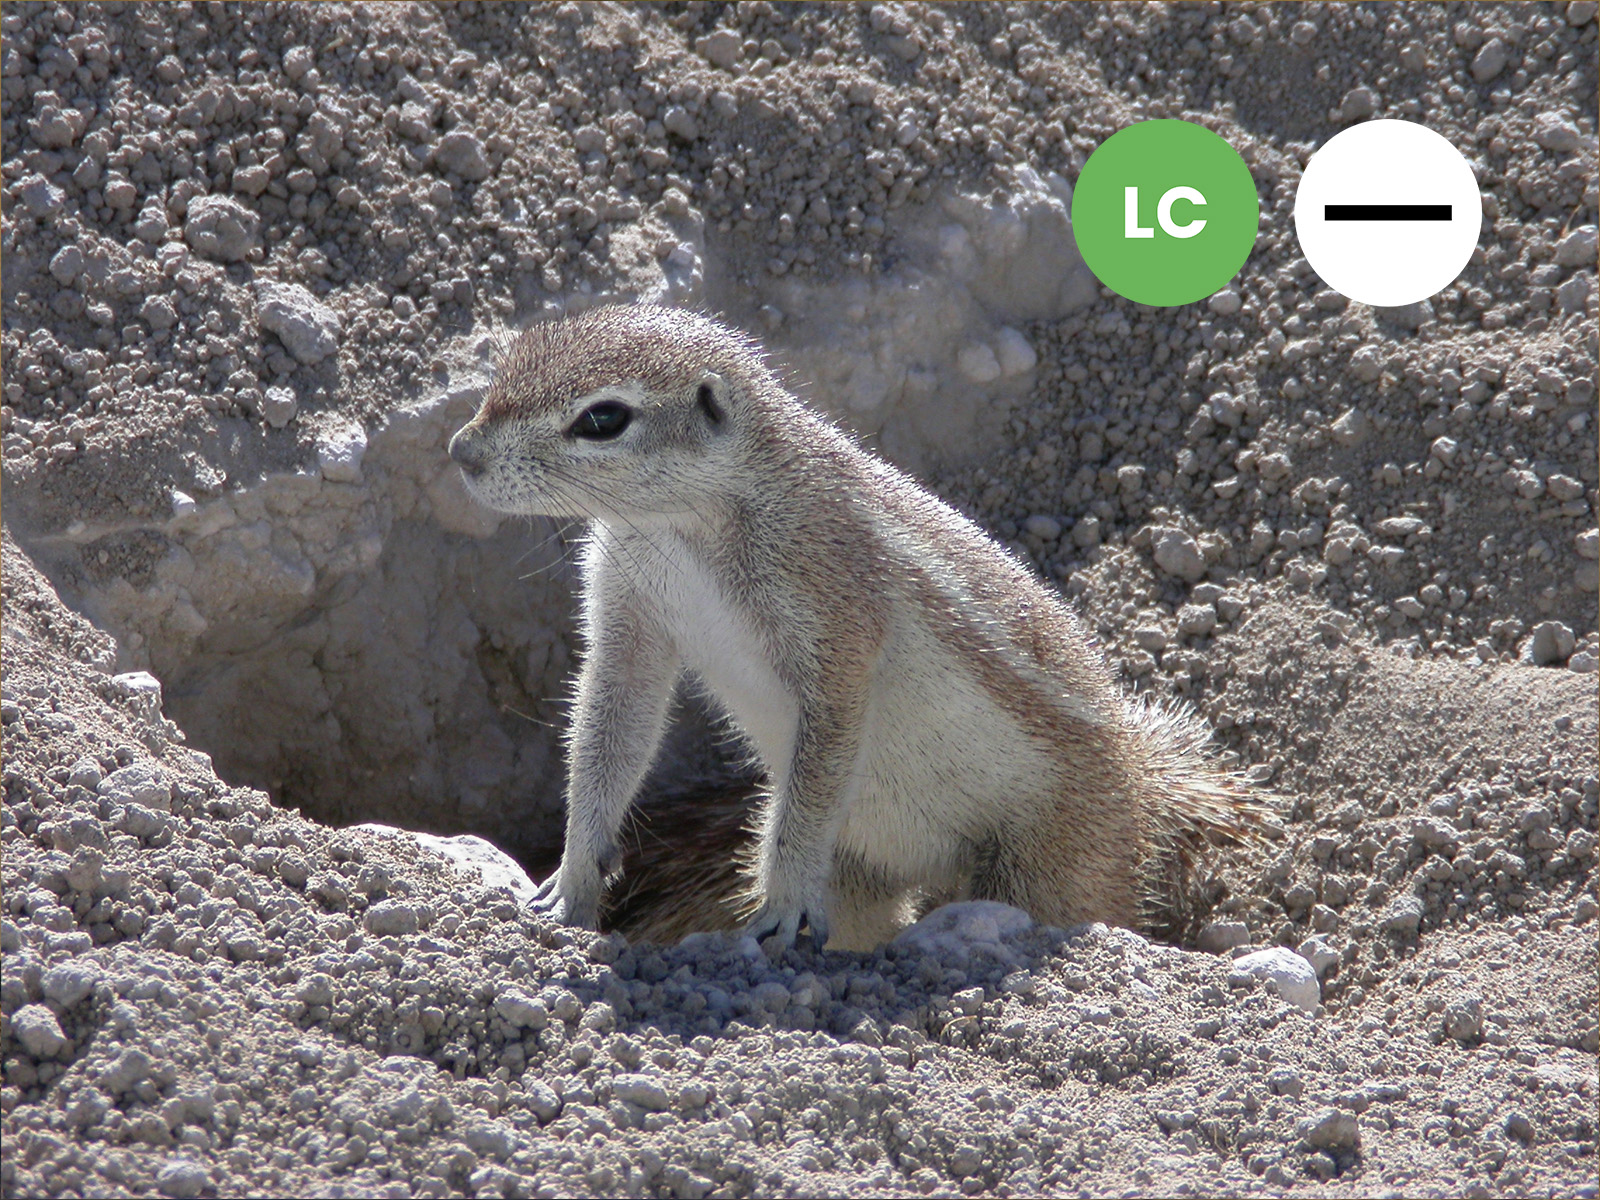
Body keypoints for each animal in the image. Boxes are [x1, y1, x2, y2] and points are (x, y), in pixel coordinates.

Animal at [449, 305, 1269, 952]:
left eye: (603, 419)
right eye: (514, 356)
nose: (462, 451)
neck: (682, 528)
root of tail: (1138, 784)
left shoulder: (837, 614)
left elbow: (826, 747)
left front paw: (782, 905)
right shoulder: (629, 606)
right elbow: (610, 723)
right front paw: (571, 880)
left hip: (1057, 858)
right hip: (862, 865)